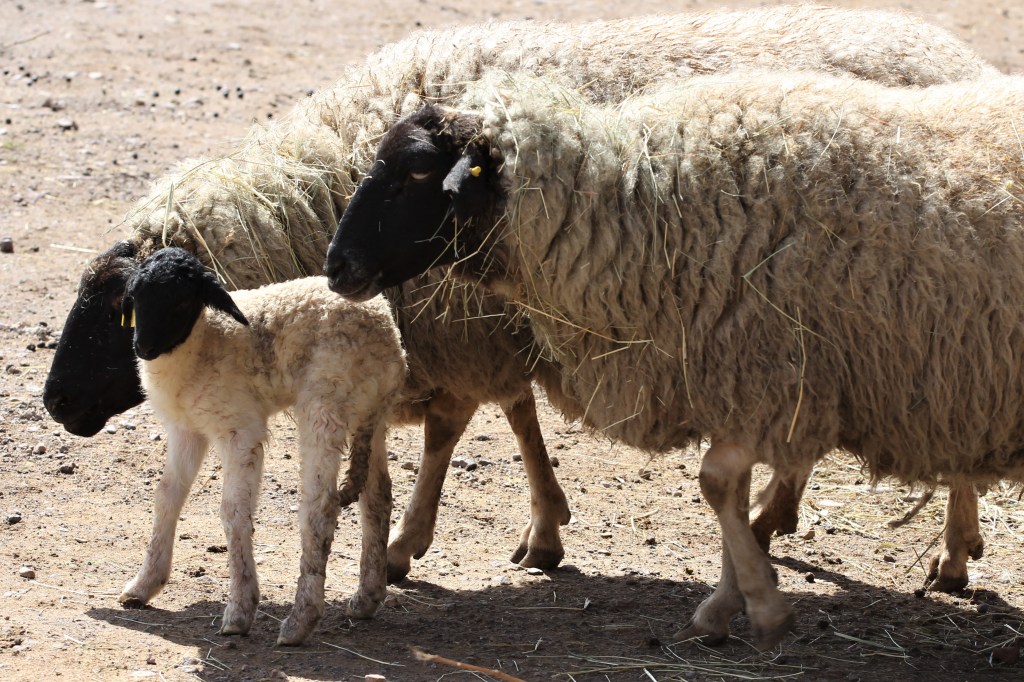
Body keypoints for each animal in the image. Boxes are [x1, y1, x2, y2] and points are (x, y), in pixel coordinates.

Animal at [44, 6, 995, 585]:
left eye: (115, 319)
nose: (54, 405)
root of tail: (955, 52)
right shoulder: (484, 320)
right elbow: (510, 415)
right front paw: (513, 516)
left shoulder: (473, 322)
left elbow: (461, 425)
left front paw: (417, 539)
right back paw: (782, 509)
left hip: (942, 318)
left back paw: (952, 550)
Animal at [118, 245, 403, 643]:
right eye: (136, 297)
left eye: (181, 302)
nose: (142, 347)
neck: (205, 340)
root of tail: (385, 332)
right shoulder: (185, 430)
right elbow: (166, 497)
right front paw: (143, 585)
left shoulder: (240, 429)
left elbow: (233, 513)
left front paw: (239, 611)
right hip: (368, 415)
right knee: (377, 497)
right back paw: (366, 598)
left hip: (325, 403)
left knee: (321, 508)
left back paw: (300, 621)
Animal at [323, 71, 1024, 651]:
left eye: (418, 173)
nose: (336, 266)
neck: (643, 207)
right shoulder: (746, 384)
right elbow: (726, 489)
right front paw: (730, 603)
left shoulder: (767, 377)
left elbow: (715, 483)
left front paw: (758, 608)